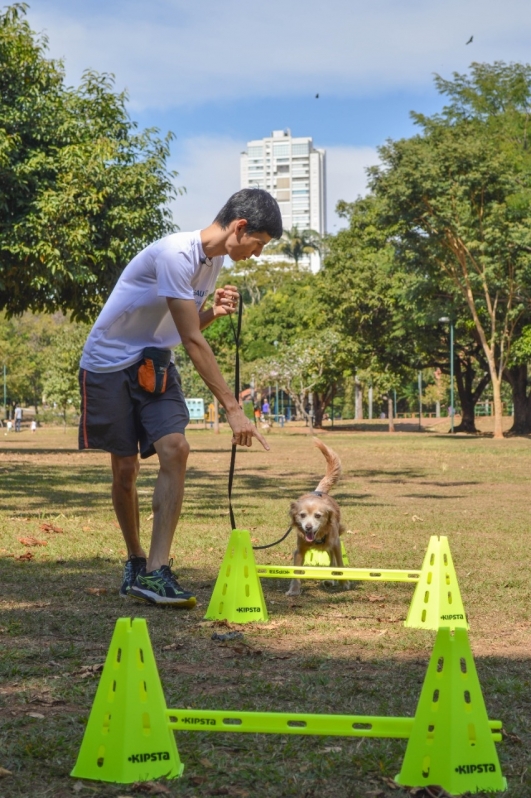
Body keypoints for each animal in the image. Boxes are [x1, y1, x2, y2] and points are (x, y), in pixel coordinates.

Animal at [286, 440, 350, 596]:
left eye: (318, 515)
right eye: (302, 515)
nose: (308, 527)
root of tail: (319, 491)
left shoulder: (336, 544)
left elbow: (340, 564)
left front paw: (344, 583)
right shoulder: (299, 550)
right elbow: (296, 571)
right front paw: (294, 589)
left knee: (332, 560)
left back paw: (331, 580)